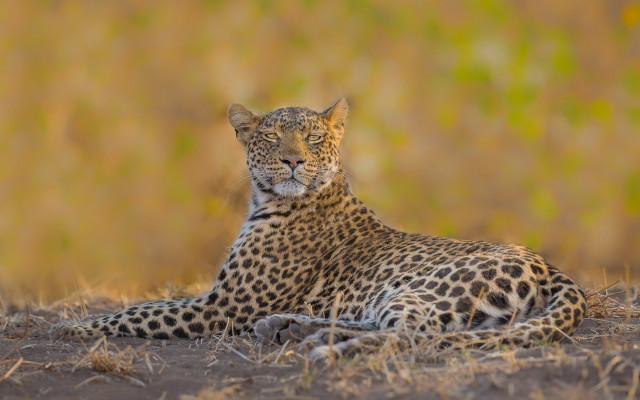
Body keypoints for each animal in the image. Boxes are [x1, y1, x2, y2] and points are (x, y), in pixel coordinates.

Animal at [51, 99, 587, 360]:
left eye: (311, 138)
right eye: (270, 137)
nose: (292, 161)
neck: (272, 200)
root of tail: (549, 266)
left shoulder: (222, 307)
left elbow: (140, 312)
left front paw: (71, 326)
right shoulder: (220, 302)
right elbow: (148, 305)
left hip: (424, 290)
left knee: (414, 336)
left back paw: (323, 348)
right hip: (396, 295)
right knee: (391, 324)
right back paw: (294, 328)